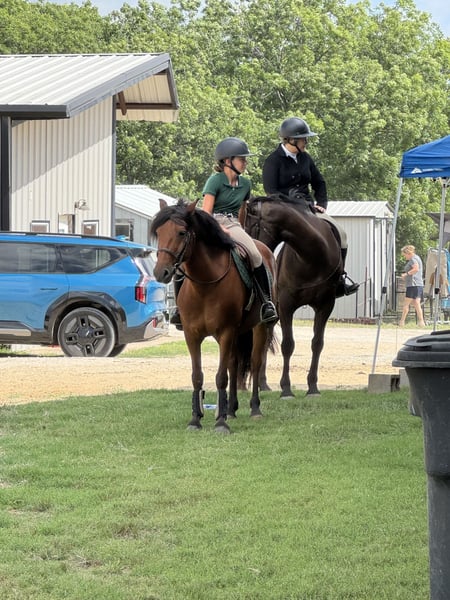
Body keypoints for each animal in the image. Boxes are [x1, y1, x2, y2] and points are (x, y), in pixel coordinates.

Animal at [150, 199, 277, 433]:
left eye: (182, 232)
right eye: (159, 232)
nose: (160, 272)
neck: (205, 285)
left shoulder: (226, 332)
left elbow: (220, 377)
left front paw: (220, 423)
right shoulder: (191, 335)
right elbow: (197, 376)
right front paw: (196, 419)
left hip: (260, 327)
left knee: (255, 363)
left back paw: (254, 409)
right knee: (234, 364)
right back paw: (231, 409)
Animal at [241, 195, 343, 398]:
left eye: (249, 226)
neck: (311, 256)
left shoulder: (326, 305)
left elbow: (317, 343)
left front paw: (313, 387)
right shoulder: (287, 305)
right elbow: (288, 345)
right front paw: (286, 389)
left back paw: (263, 384)